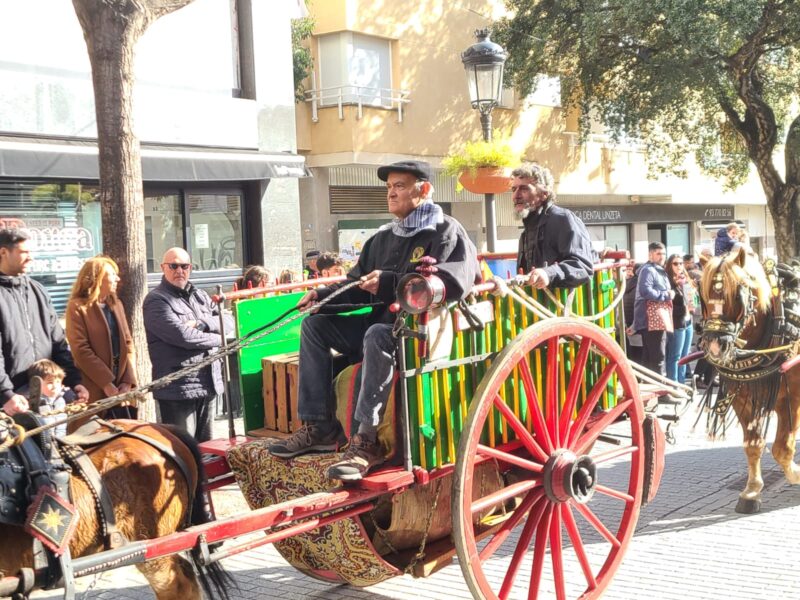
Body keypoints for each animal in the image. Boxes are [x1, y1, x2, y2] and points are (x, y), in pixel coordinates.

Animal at [696, 246, 800, 512]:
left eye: (737, 294)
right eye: (703, 294)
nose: (715, 344)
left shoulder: (792, 396)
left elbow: (782, 447)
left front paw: (795, 474)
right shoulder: (742, 396)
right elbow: (753, 444)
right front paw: (751, 491)